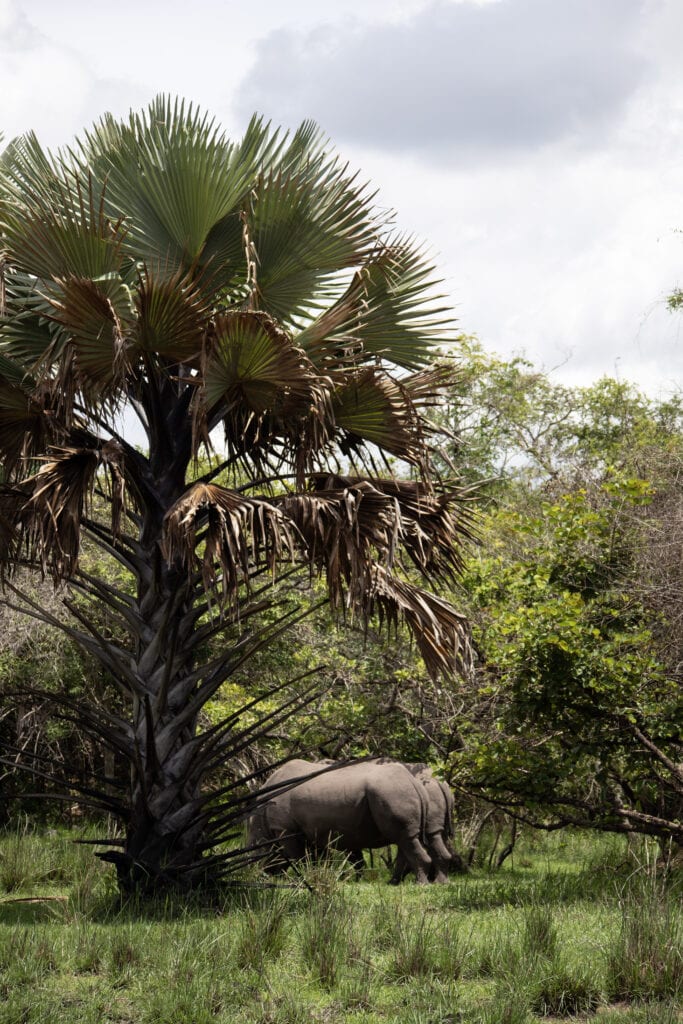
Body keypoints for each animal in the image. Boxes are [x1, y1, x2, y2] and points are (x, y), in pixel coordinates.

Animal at [247, 758, 434, 883]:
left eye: (253, 854)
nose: (257, 874)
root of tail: (414, 782)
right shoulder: (314, 830)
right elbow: (322, 858)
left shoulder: (285, 829)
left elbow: (299, 857)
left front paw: (304, 877)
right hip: (396, 792)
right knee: (406, 839)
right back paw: (400, 882)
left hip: (392, 792)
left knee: (404, 838)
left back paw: (420, 884)